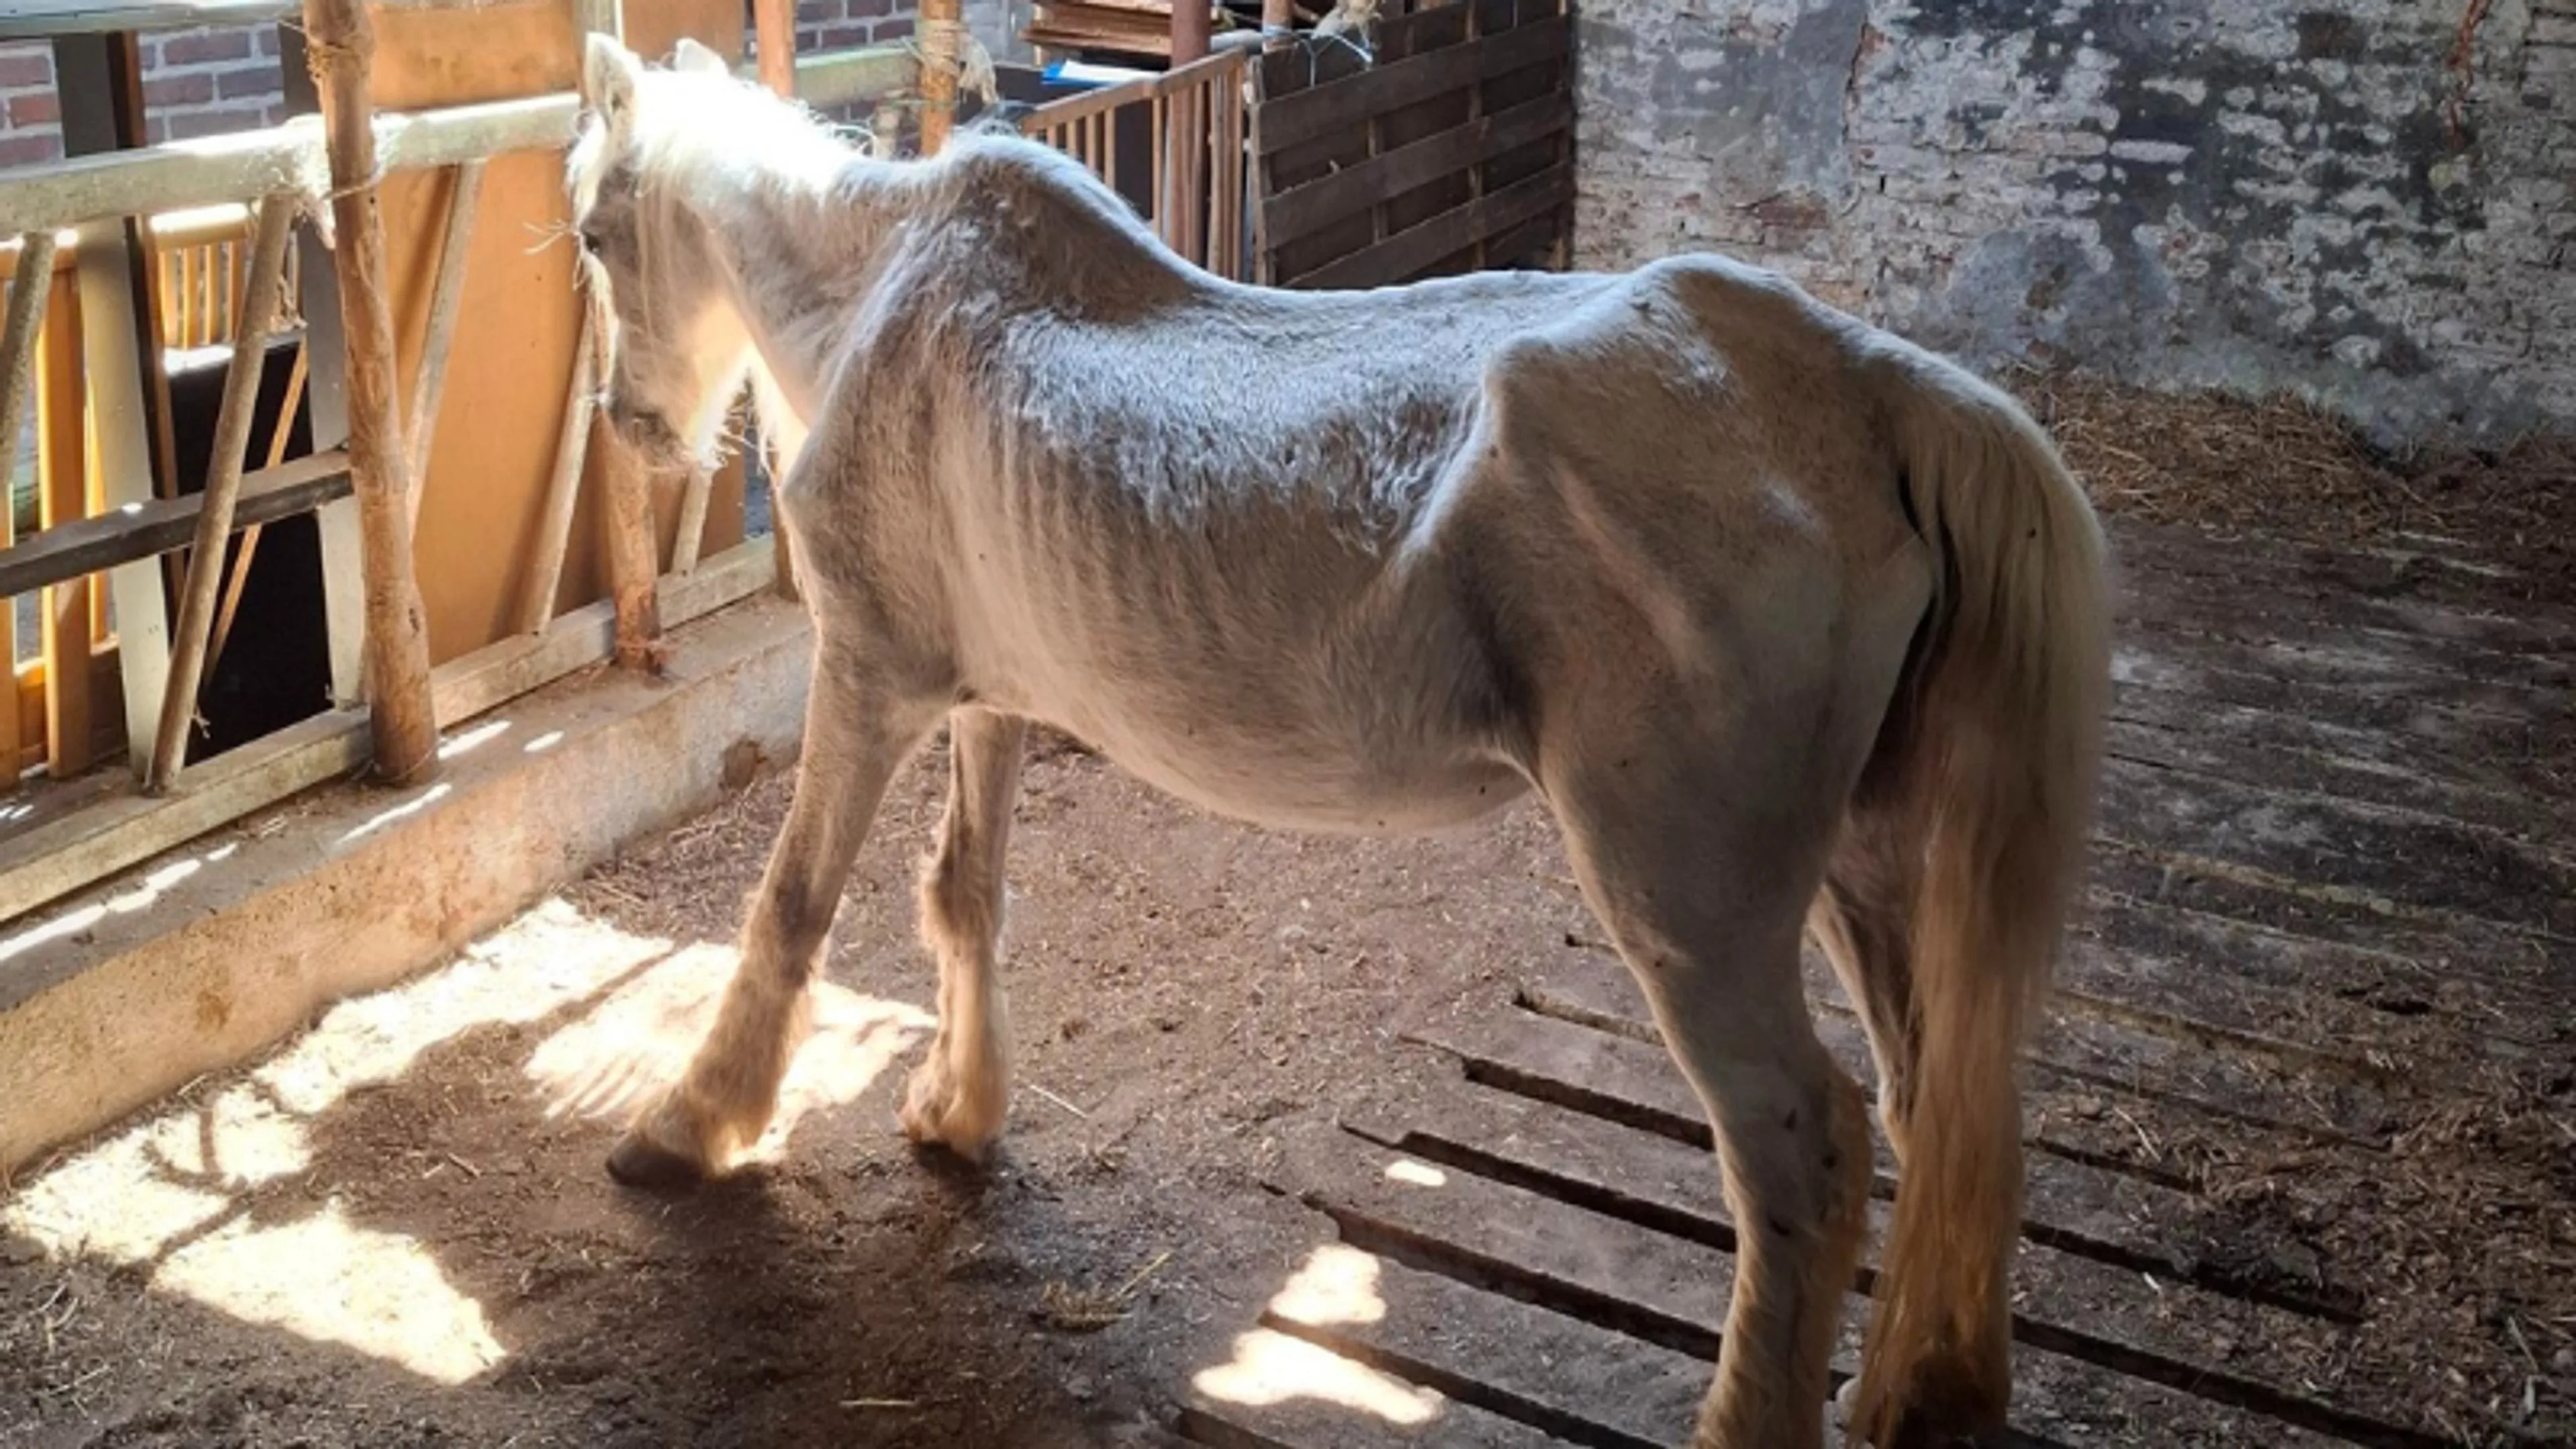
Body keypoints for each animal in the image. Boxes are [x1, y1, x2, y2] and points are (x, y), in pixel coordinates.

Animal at [564, 34, 2111, 1449]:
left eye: (593, 231)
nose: (631, 426)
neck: (885, 296)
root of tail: (1863, 390)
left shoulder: (873, 677)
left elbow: (791, 908)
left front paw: (686, 1128)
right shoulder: (984, 698)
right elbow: (965, 897)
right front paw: (955, 1112)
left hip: (1693, 904)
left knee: (1806, 1149)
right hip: (1863, 868)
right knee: (1937, 1099)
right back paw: (1921, 1391)